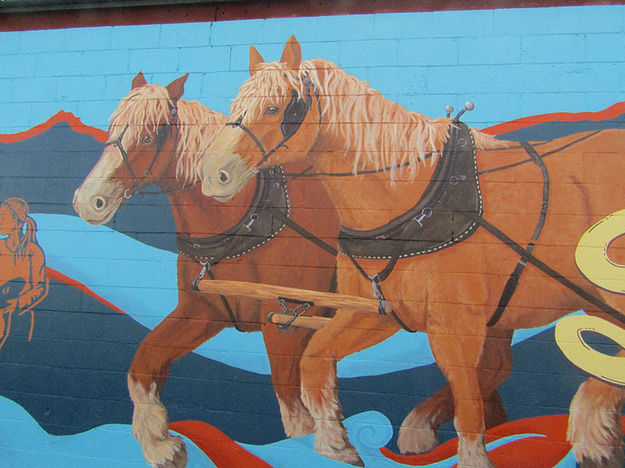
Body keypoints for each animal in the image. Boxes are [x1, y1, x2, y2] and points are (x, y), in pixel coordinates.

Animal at [197, 36, 624, 468]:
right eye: (235, 104)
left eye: (274, 108)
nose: (214, 173)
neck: (411, 193)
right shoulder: (377, 312)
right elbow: (315, 359)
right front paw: (336, 444)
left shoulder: (455, 324)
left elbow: (469, 408)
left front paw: (473, 457)